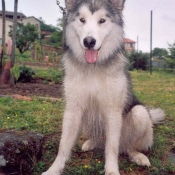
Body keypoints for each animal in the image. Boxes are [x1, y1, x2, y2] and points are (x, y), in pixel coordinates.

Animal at [41, 0, 165, 174]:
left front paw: (112, 170)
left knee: (127, 146)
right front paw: (54, 169)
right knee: (100, 141)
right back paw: (90, 143)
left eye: (102, 21)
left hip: (140, 114)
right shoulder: (73, 109)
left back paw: (138, 156)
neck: (93, 67)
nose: (89, 42)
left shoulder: (113, 111)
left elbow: (111, 147)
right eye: (82, 20)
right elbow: (63, 145)